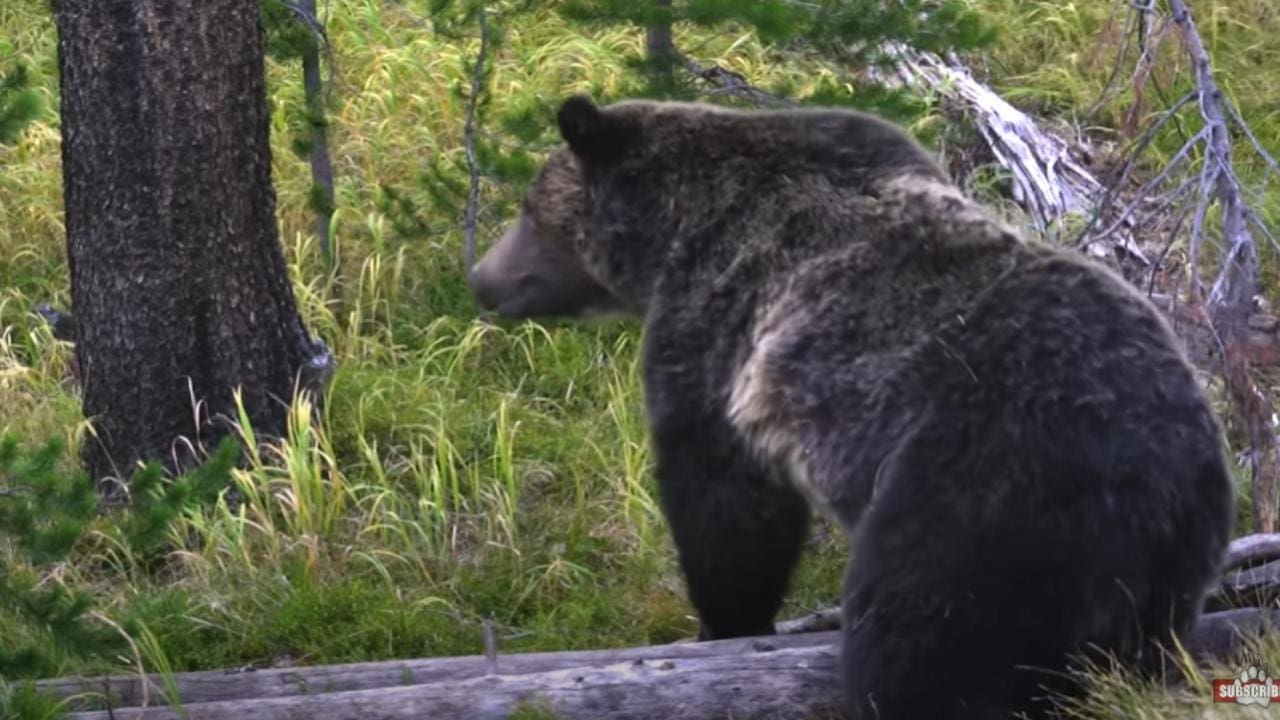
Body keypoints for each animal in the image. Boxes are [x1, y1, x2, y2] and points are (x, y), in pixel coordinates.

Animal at [465, 96, 1233, 717]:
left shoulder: (717, 324)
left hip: (986, 498)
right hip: (1169, 569)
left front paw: (724, 621)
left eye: (529, 208)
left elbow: (723, 496)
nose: (480, 278)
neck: (675, 230)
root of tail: (1158, 473)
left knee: (921, 645)